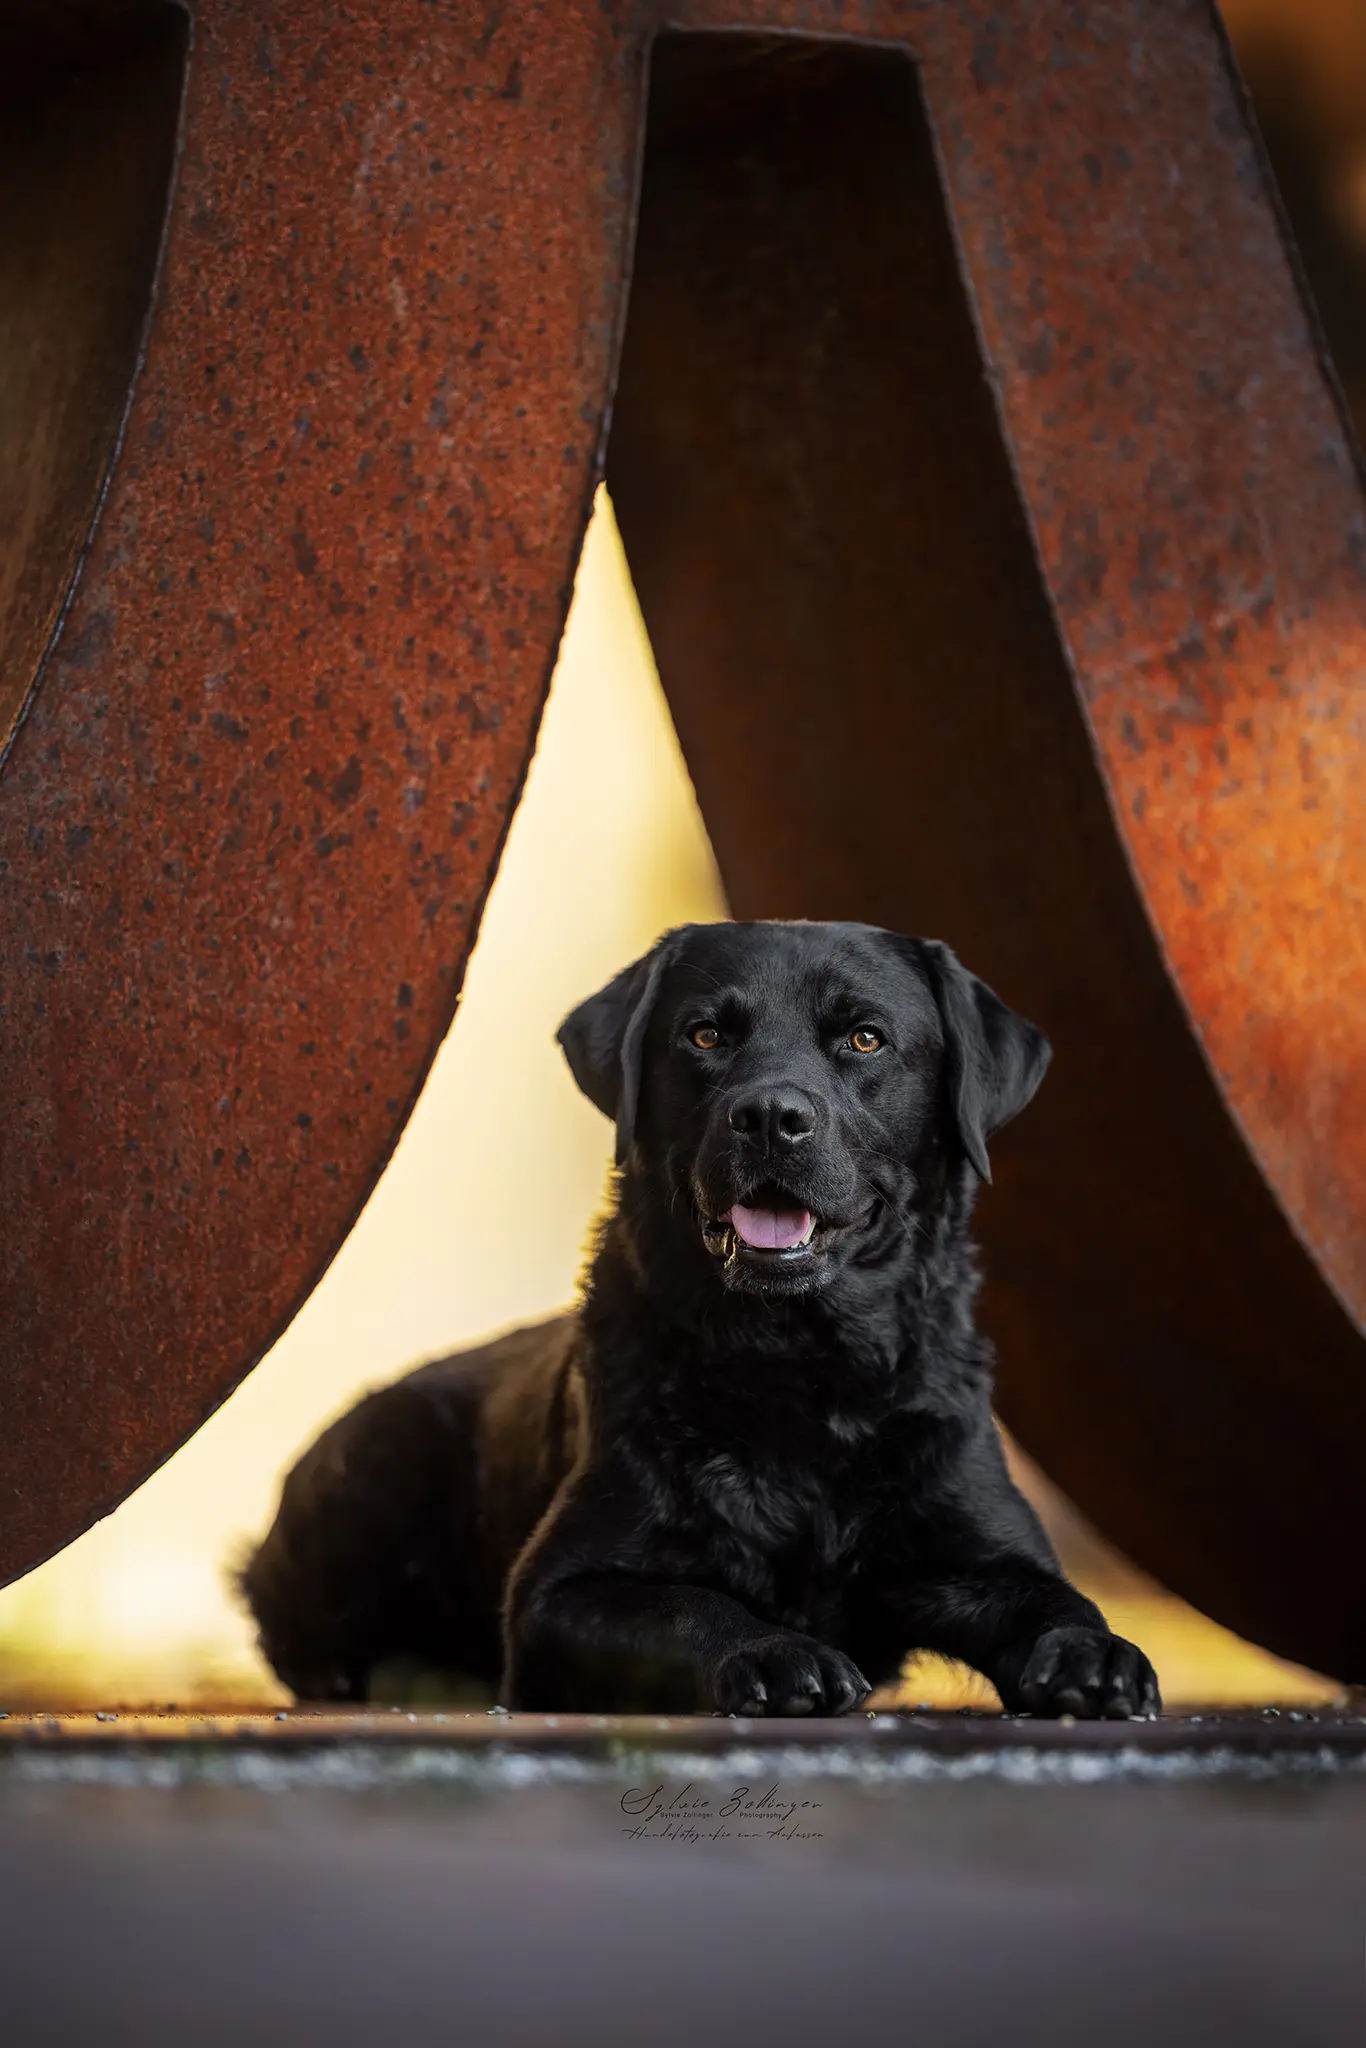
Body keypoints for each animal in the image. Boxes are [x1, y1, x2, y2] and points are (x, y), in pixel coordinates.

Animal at [240, 921, 1163, 1720]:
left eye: (865, 1039)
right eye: (705, 1036)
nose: (771, 1118)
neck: (801, 1370)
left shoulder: (982, 1549)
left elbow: (1058, 1600)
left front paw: (1097, 1657)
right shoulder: (553, 1595)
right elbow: (687, 1604)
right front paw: (776, 1653)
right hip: (368, 1464)